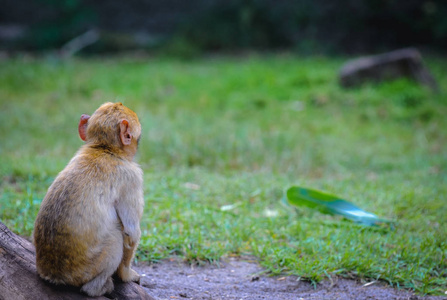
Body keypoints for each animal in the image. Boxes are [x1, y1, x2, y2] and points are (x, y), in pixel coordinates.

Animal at [34, 102, 144, 296]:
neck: (104, 149)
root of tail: (54, 275)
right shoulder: (132, 178)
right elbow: (131, 233)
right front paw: (126, 275)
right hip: (87, 267)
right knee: (115, 238)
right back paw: (98, 288)